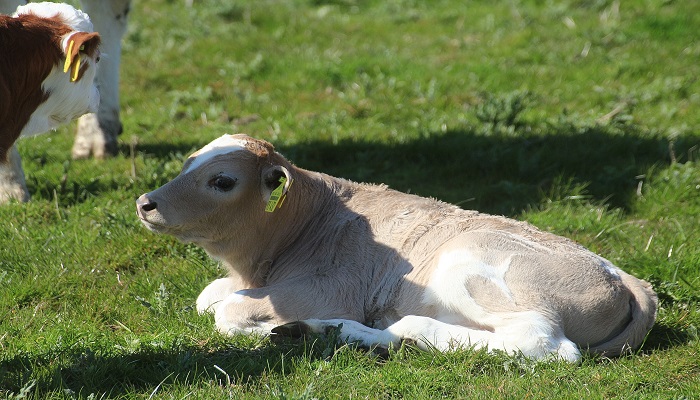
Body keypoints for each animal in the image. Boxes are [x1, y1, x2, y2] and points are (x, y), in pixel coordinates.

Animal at [135, 134, 656, 362]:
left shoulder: (329, 288)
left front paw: (261, 330)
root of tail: (625, 277)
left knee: (542, 343)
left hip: (469, 265)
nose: (145, 203)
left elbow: (227, 312)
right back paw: (327, 333)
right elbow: (209, 298)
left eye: (222, 181)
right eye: (188, 162)